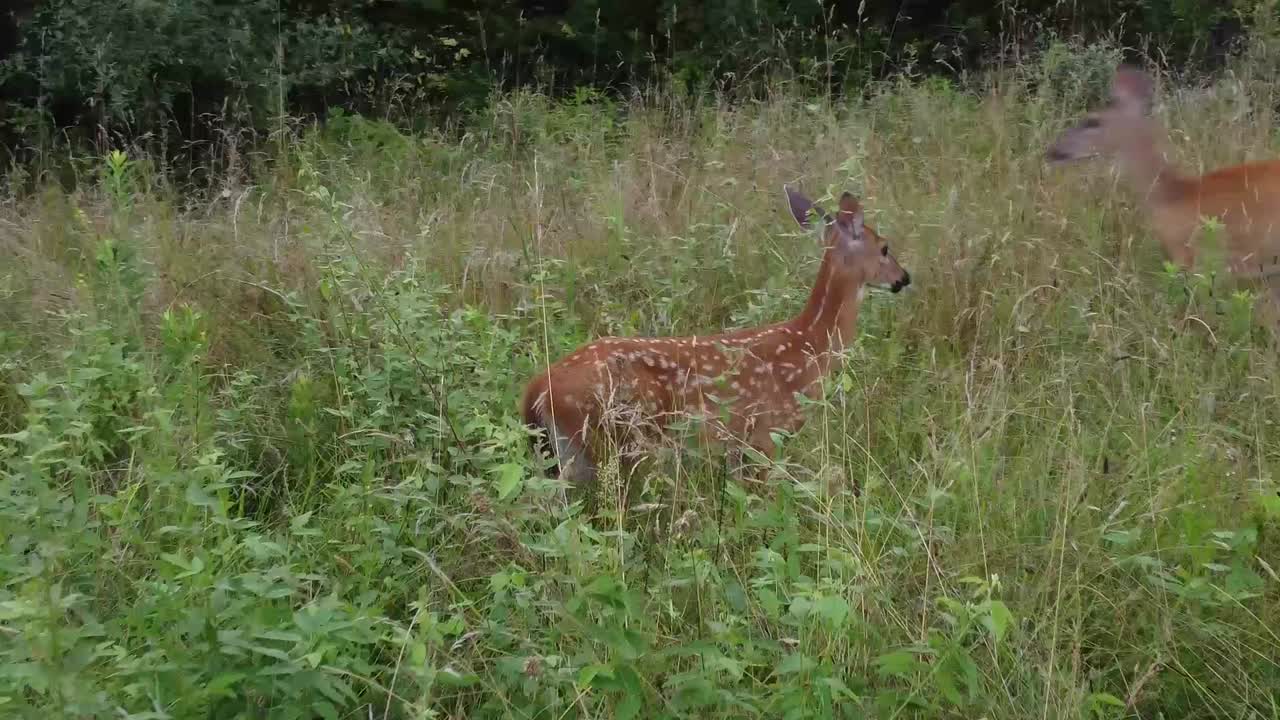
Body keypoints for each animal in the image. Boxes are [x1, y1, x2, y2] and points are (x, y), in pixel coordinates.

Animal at [520, 186, 911, 492]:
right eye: (885, 248)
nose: (904, 278)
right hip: (608, 439)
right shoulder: (767, 434)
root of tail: (537, 389)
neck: (809, 343)